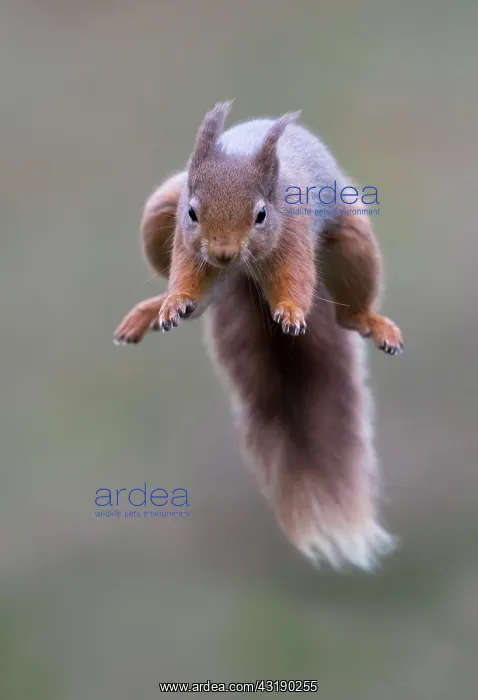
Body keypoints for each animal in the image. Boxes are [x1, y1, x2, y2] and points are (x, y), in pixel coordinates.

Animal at [114, 102, 404, 571]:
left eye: (261, 214)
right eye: (193, 212)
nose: (222, 253)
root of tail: (240, 276)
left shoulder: (295, 233)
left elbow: (296, 280)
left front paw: (290, 312)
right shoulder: (183, 237)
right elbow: (185, 275)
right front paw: (174, 301)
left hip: (354, 241)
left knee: (348, 314)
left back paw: (369, 321)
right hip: (159, 214)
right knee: (201, 302)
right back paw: (153, 311)